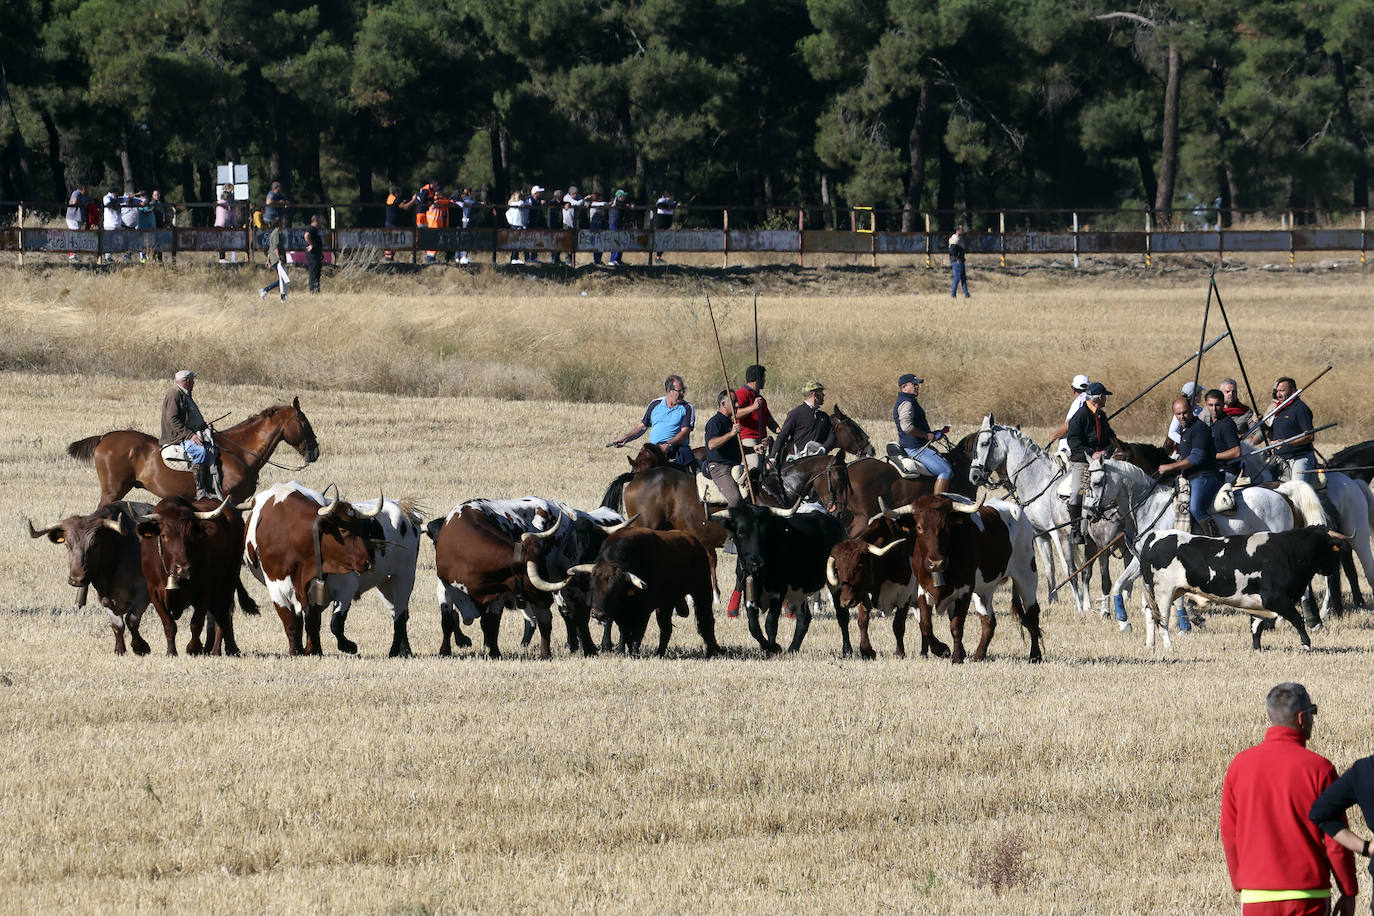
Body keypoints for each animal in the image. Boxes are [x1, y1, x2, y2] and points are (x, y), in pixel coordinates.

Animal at [67, 395, 321, 505]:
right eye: (303, 421)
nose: (315, 451)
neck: (240, 453)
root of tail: (105, 437)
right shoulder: (228, 500)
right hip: (113, 491)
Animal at [714, 497, 840, 656]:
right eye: (741, 532)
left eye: (765, 532)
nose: (757, 563)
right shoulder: (748, 593)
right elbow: (753, 626)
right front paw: (768, 647)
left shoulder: (779, 592)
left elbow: (771, 623)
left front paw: (774, 647)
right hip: (800, 591)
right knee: (804, 618)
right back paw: (792, 648)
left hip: (835, 582)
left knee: (842, 616)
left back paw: (847, 649)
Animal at [1132, 521, 1346, 650]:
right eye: (1331, 549)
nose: (1333, 569)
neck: (1288, 552)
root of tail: (1155, 536)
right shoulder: (1277, 600)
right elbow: (1298, 620)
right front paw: (1306, 645)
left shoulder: (1259, 604)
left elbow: (1256, 627)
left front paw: (1257, 649)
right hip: (1164, 593)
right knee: (1162, 621)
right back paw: (1169, 647)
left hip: (1164, 592)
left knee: (1150, 615)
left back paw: (1150, 645)